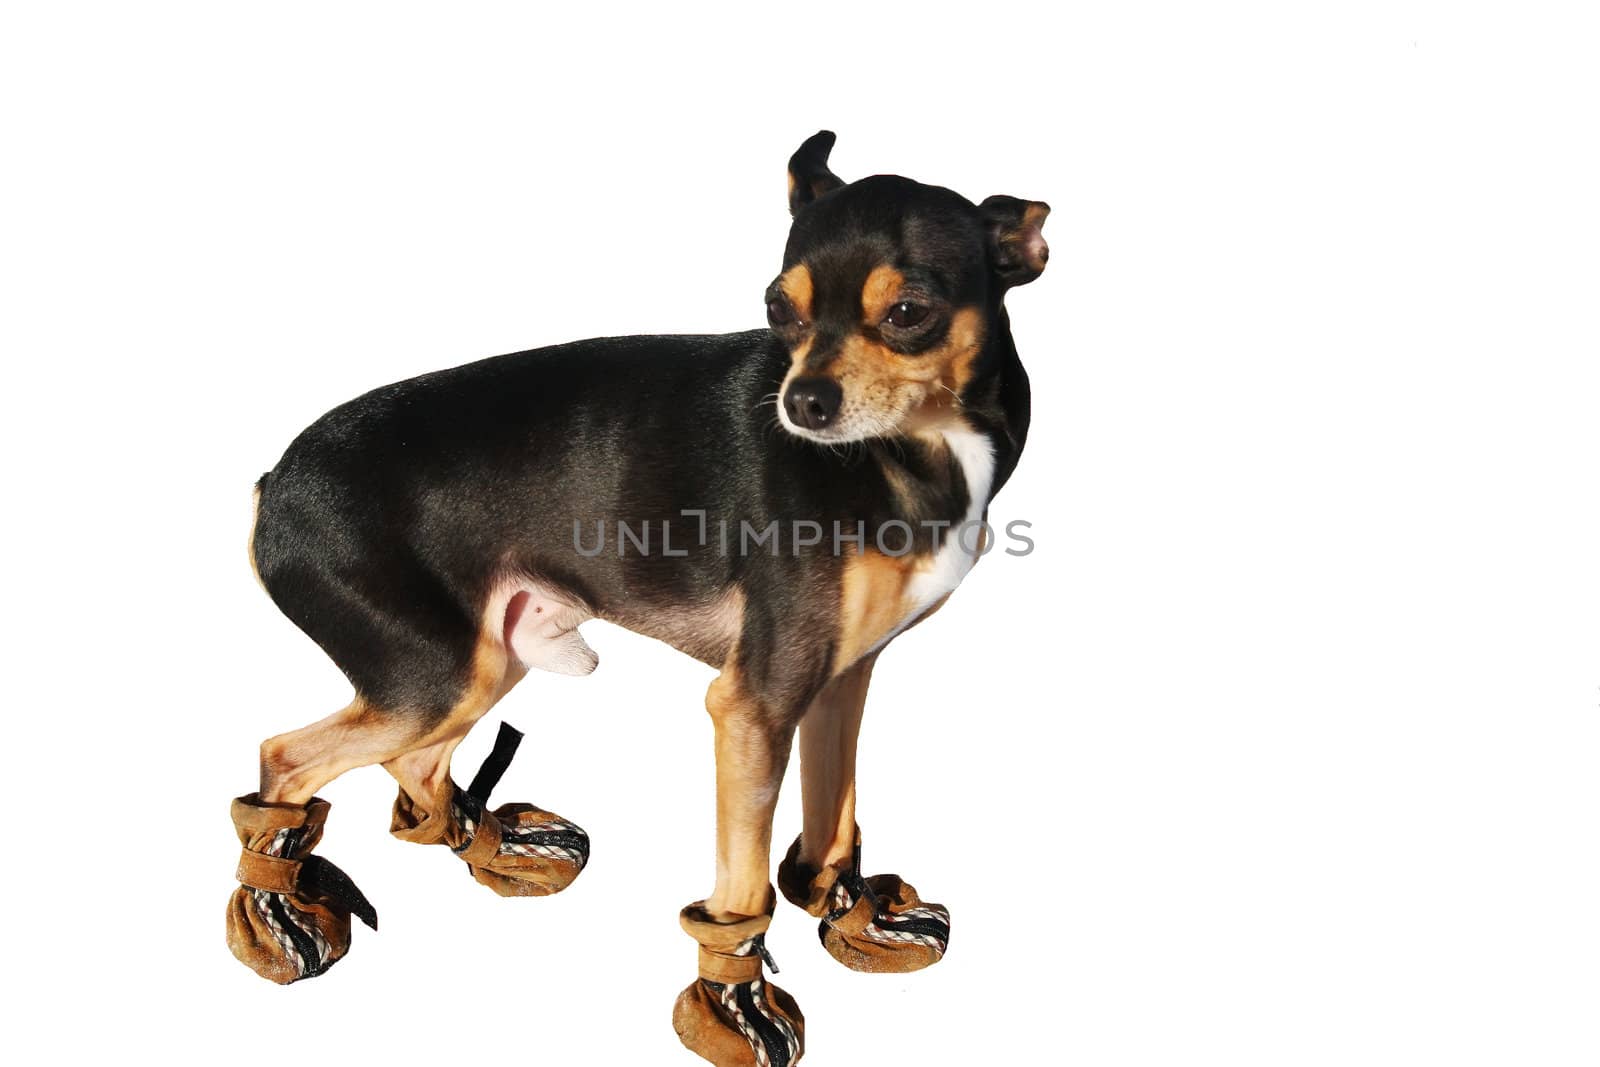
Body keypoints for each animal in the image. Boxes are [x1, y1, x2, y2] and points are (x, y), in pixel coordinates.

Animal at [228, 133, 1049, 1067]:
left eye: (908, 311)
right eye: (779, 308)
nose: (802, 402)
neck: (913, 450)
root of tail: (271, 484)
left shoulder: (837, 681)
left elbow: (833, 818)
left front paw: (851, 915)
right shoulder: (755, 704)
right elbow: (742, 884)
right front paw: (737, 1003)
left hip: (477, 663)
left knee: (413, 764)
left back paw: (495, 847)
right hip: (433, 675)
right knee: (288, 758)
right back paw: (278, 909)